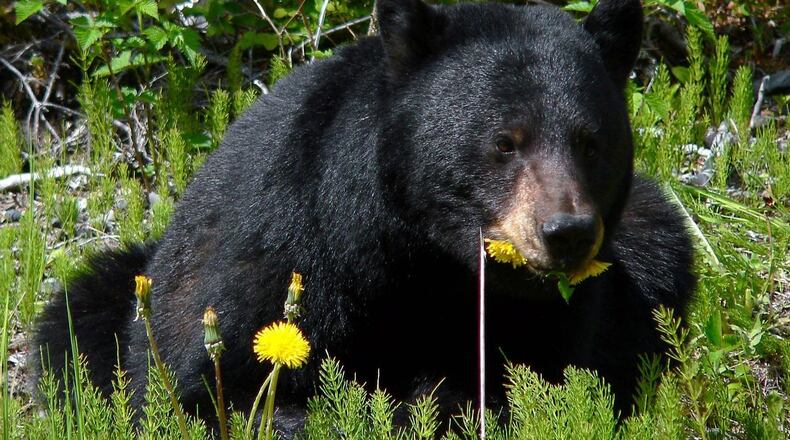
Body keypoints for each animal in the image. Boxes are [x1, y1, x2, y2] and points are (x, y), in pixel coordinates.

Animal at [34, 0, 694, 434]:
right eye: (504, 142)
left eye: (591, 142)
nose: (566, 233)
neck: (420, 255)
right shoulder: (277, 250)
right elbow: (213, 389)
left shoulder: (551, 313)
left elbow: (541, 375)